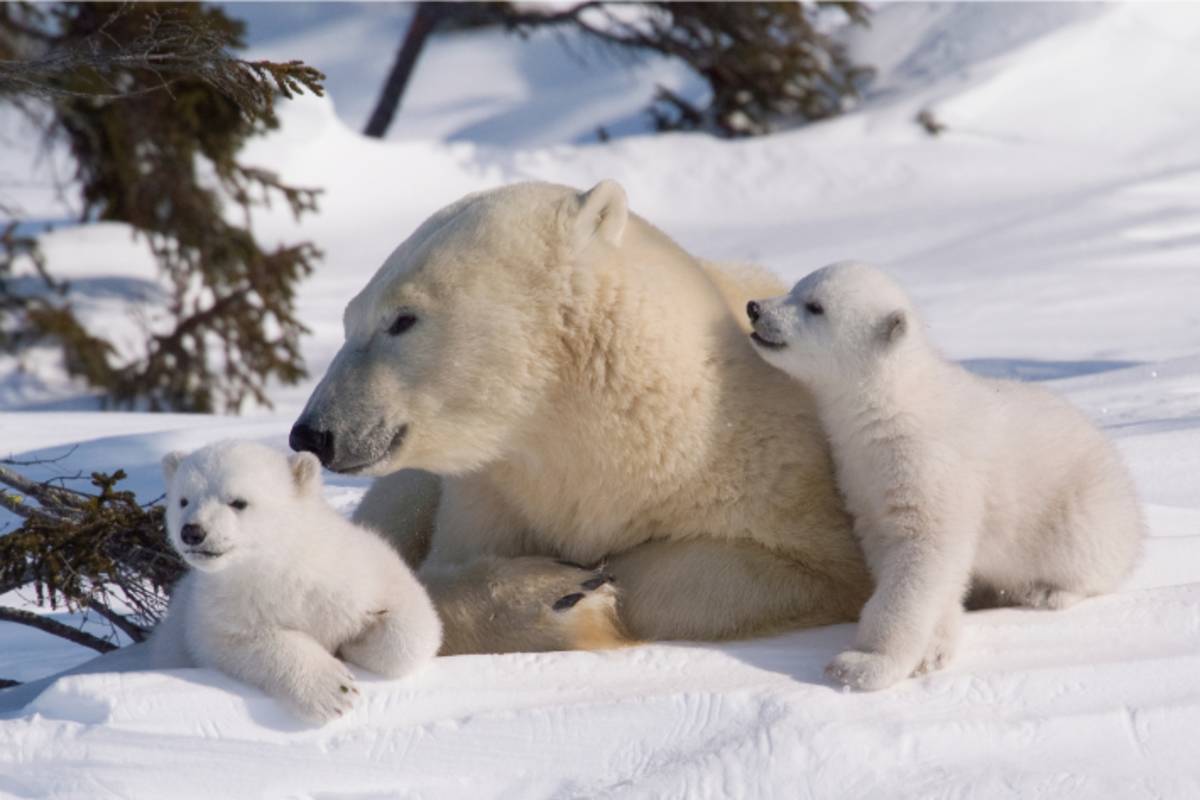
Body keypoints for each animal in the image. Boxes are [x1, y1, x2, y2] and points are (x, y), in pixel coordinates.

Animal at [290, 178, 873, 652]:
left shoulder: (776, 475)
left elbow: (796, 569)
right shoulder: (493, 495)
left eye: (402, 319)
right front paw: (556, 592)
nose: (313, 432)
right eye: (348, 318)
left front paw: (590, 587)